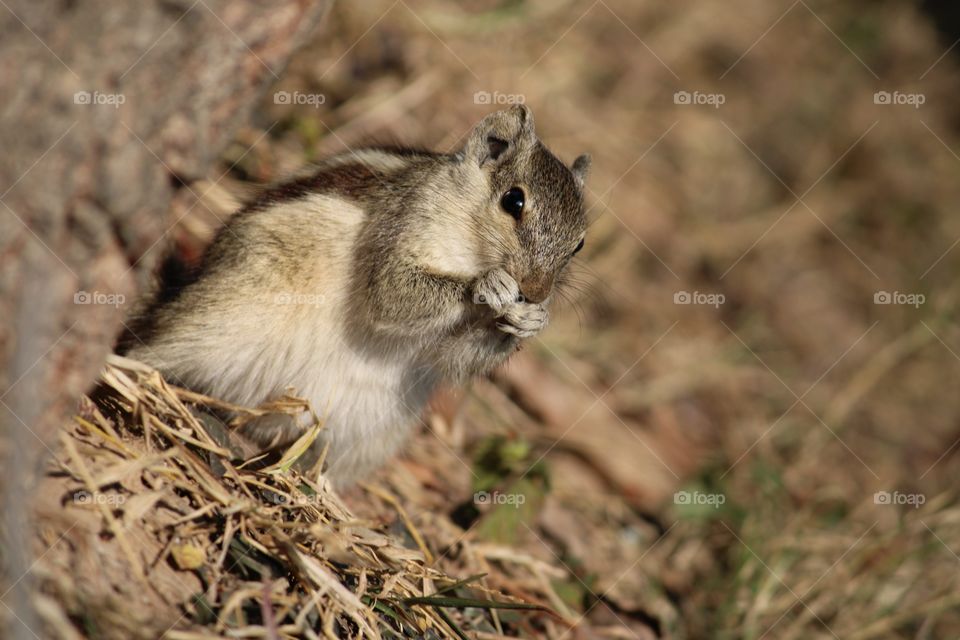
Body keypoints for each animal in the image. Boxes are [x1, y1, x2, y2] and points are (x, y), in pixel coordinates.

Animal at [122, 105, 590, 486]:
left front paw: (531, 322)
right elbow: (391, 294)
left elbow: (456, 359)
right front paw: (488, 285)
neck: (468, 238)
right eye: (513, 201)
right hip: (222, 318)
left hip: (372, 435)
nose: (536, 290)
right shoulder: (400, 226)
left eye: (580, 244)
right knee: (154, 347)